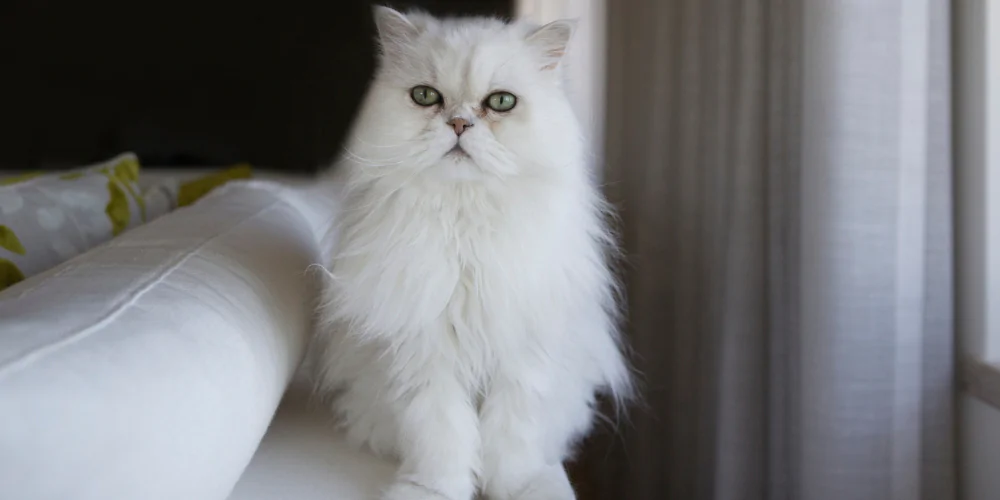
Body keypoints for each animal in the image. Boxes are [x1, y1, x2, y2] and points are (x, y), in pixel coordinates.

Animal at [316, 7, 628, 500]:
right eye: (426, 97)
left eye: (500, 102)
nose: (459, 124)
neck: (465, 224)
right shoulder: (425, 357)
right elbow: (443, 438)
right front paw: (435, 490)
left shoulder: (521, 357)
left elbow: (509, 439)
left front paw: (516, 488)